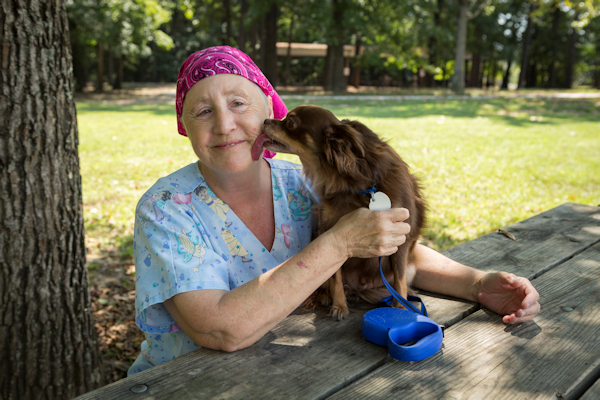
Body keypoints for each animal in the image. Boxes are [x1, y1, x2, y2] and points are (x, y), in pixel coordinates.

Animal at [254, 104, 426, 320]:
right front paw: (339, 306)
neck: (353, 183)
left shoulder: (401, 239)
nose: (265, 121)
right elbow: (335, 278)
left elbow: (399, 279)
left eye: (291, 123)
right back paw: (327, 296)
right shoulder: (332, 233)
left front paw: (401, 308)